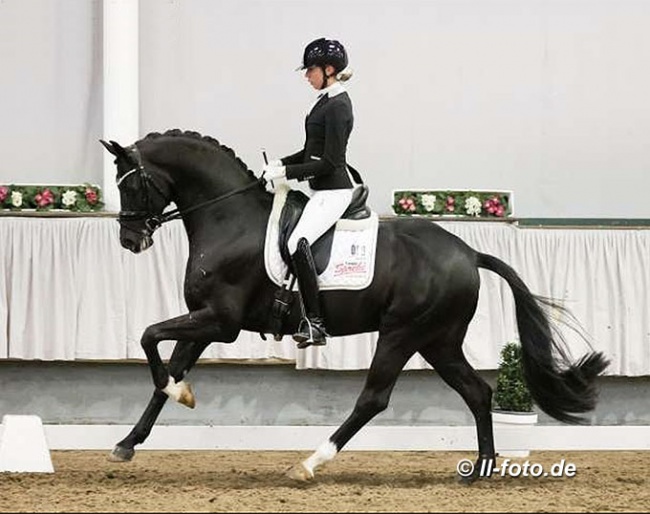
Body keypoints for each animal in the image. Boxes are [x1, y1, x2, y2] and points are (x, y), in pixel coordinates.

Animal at [101, 128, 608, 480]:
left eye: (131, 185)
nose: (129, 240)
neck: (229, 219)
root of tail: (468, 252)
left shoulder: (219, 322)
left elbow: (148, 337)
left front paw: (177, 395)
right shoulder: (204, 321)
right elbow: (165, 370)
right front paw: (133, 437)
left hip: (402, 333)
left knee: (373, 399)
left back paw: (308, 464)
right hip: (438, 340)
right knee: (476, 393)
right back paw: (482, 468)